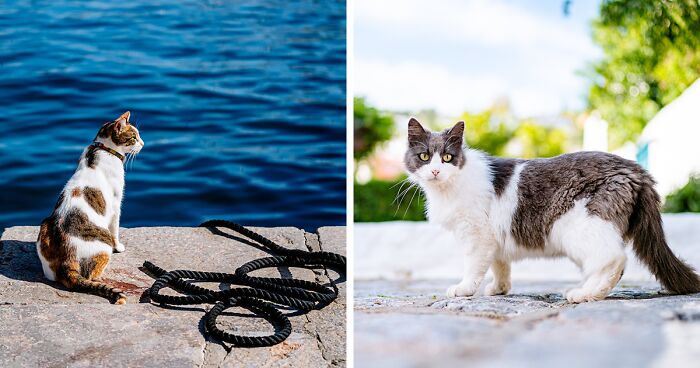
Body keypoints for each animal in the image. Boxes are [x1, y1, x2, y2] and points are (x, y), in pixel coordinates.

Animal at [37, 112, 145, 304]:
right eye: (134, 137)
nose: (143, 143)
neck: (102, 149)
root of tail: (67, 262)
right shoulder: (116, 205)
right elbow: (115, 229)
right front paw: (119, 247)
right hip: (104, 245)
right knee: (90, 275)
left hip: (44, 227)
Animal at [404, 117, 700, 302]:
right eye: (424, 157)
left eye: (447, 158)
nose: (435, 170)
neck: (448, 187)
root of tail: (635, 169)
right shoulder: (494, 237)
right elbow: (500, 265)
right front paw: (500, 289)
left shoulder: (477, 234)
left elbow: (474, 266)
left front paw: (464, 289)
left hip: (578, 227)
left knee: (614, 260)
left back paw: (584, 295)